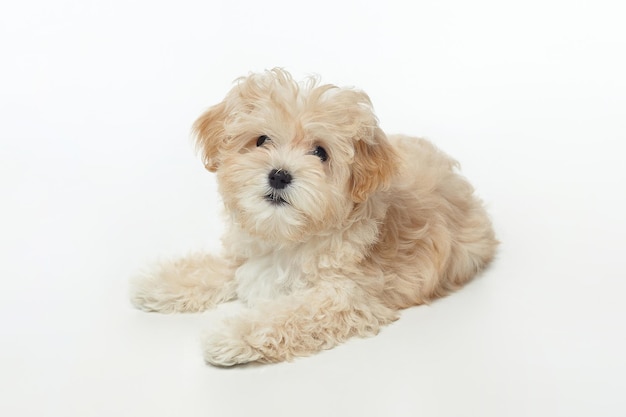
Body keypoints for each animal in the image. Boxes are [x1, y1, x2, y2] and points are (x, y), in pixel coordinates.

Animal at [130, 68, 498, 364]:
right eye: (262, 140)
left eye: (320, 152)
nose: (279, 175)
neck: (289, 236)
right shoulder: (246, 257)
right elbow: (210, 268)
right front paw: (160, 281)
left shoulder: (342, 297)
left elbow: (284, 315)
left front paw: (231, 334)